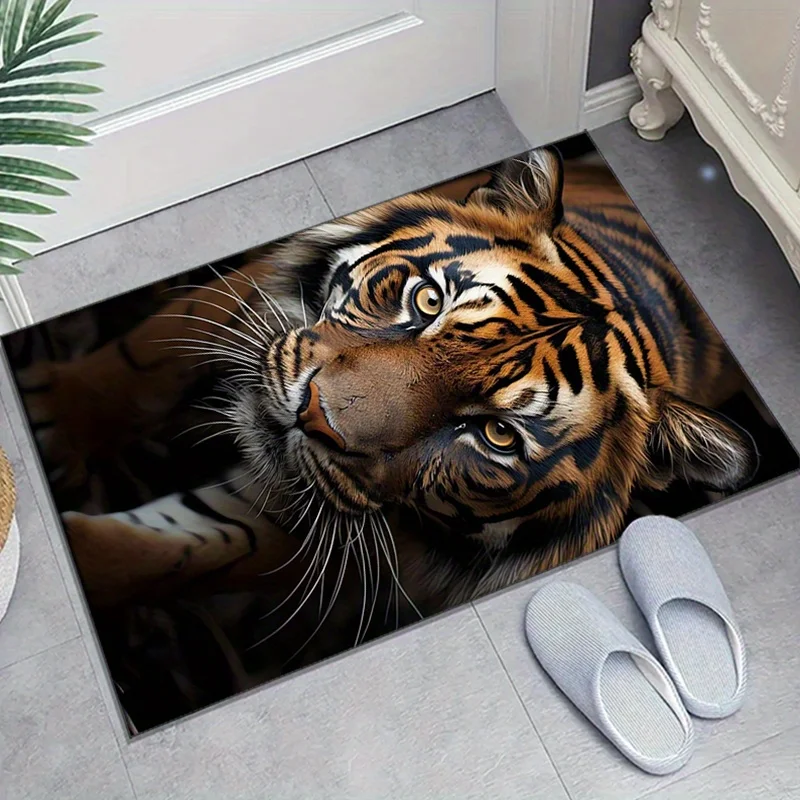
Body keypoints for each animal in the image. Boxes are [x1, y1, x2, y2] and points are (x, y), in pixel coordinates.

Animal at [16, 146, 758, 649]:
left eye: (496, 434)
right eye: (427, 301)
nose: (311, 415)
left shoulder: (315, 515)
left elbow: (185, 549)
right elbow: (154, 351)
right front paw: (55, 415)